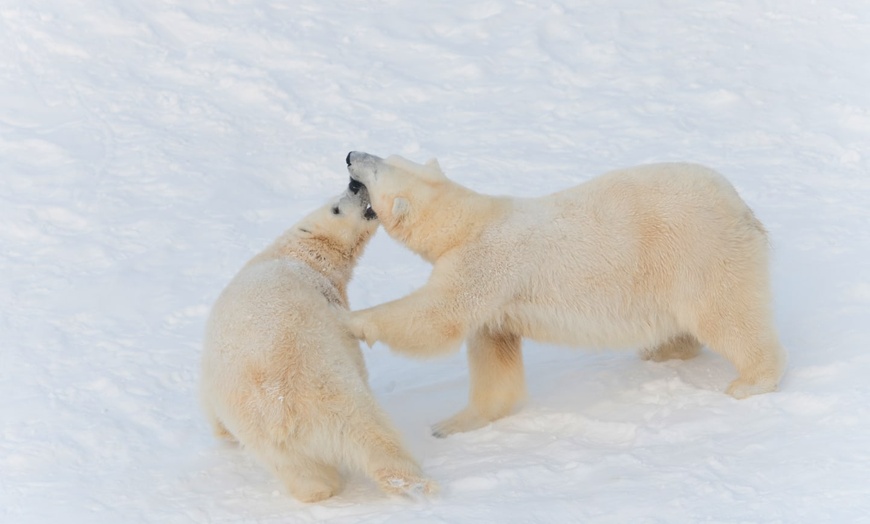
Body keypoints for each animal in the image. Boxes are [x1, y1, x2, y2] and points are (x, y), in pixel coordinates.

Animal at [203, 188, 436, 504]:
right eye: (336, 207)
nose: (354, 185)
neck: (297, 254)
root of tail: (279, 408)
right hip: (328, 386)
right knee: (369, 429)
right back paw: (414, 483)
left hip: (265, 437)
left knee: (300, 472)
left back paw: (320, 491)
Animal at [346, 151, 792, 438]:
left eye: (377, 167)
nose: (351, 153)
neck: (471, 219)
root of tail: (740, 206)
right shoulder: (498, 301)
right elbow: (494, 358)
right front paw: (453, 424)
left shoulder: (485, 263)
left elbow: (439, 316)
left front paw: (355, 321)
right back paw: (662, 349)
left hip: (698, 250)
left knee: (726, 313)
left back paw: (749, 381)